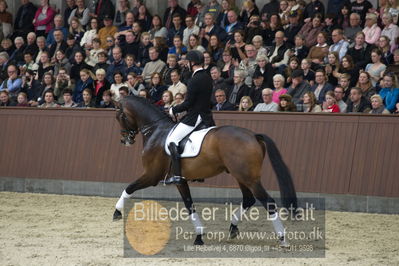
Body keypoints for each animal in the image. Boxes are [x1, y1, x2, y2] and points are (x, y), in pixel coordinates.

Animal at [112, 95, 296, 245]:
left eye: (119, 117)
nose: (124, 140)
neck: (156, 130)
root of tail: (253, 136)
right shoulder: (180, 181)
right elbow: (189, 205)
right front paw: (199, 236)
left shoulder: (151, 175)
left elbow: (129, 188)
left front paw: (117, 212)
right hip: (241, 176)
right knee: (249, 200)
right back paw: (233, 228)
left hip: (249, 178)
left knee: (268, 202)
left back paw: (283, 239)